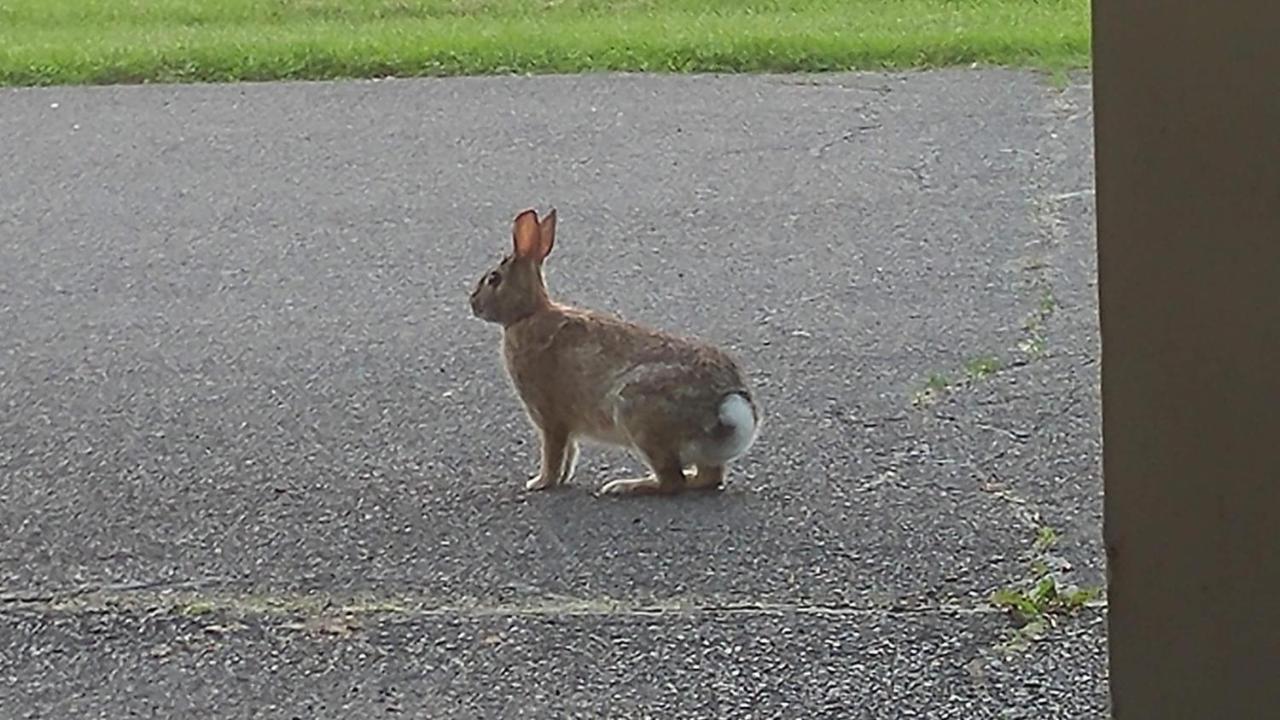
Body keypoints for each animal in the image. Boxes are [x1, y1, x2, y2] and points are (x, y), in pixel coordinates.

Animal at [473, 204, 757, 489]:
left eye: (494, 279)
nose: (473, 304)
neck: (527, 313)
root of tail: (724, 404)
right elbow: (570, 452)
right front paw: (559, 479)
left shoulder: (549, 416)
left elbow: (554, 452)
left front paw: (540, 482)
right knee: (708, 477)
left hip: (636, 414)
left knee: (671, 481)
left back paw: (624, 485)